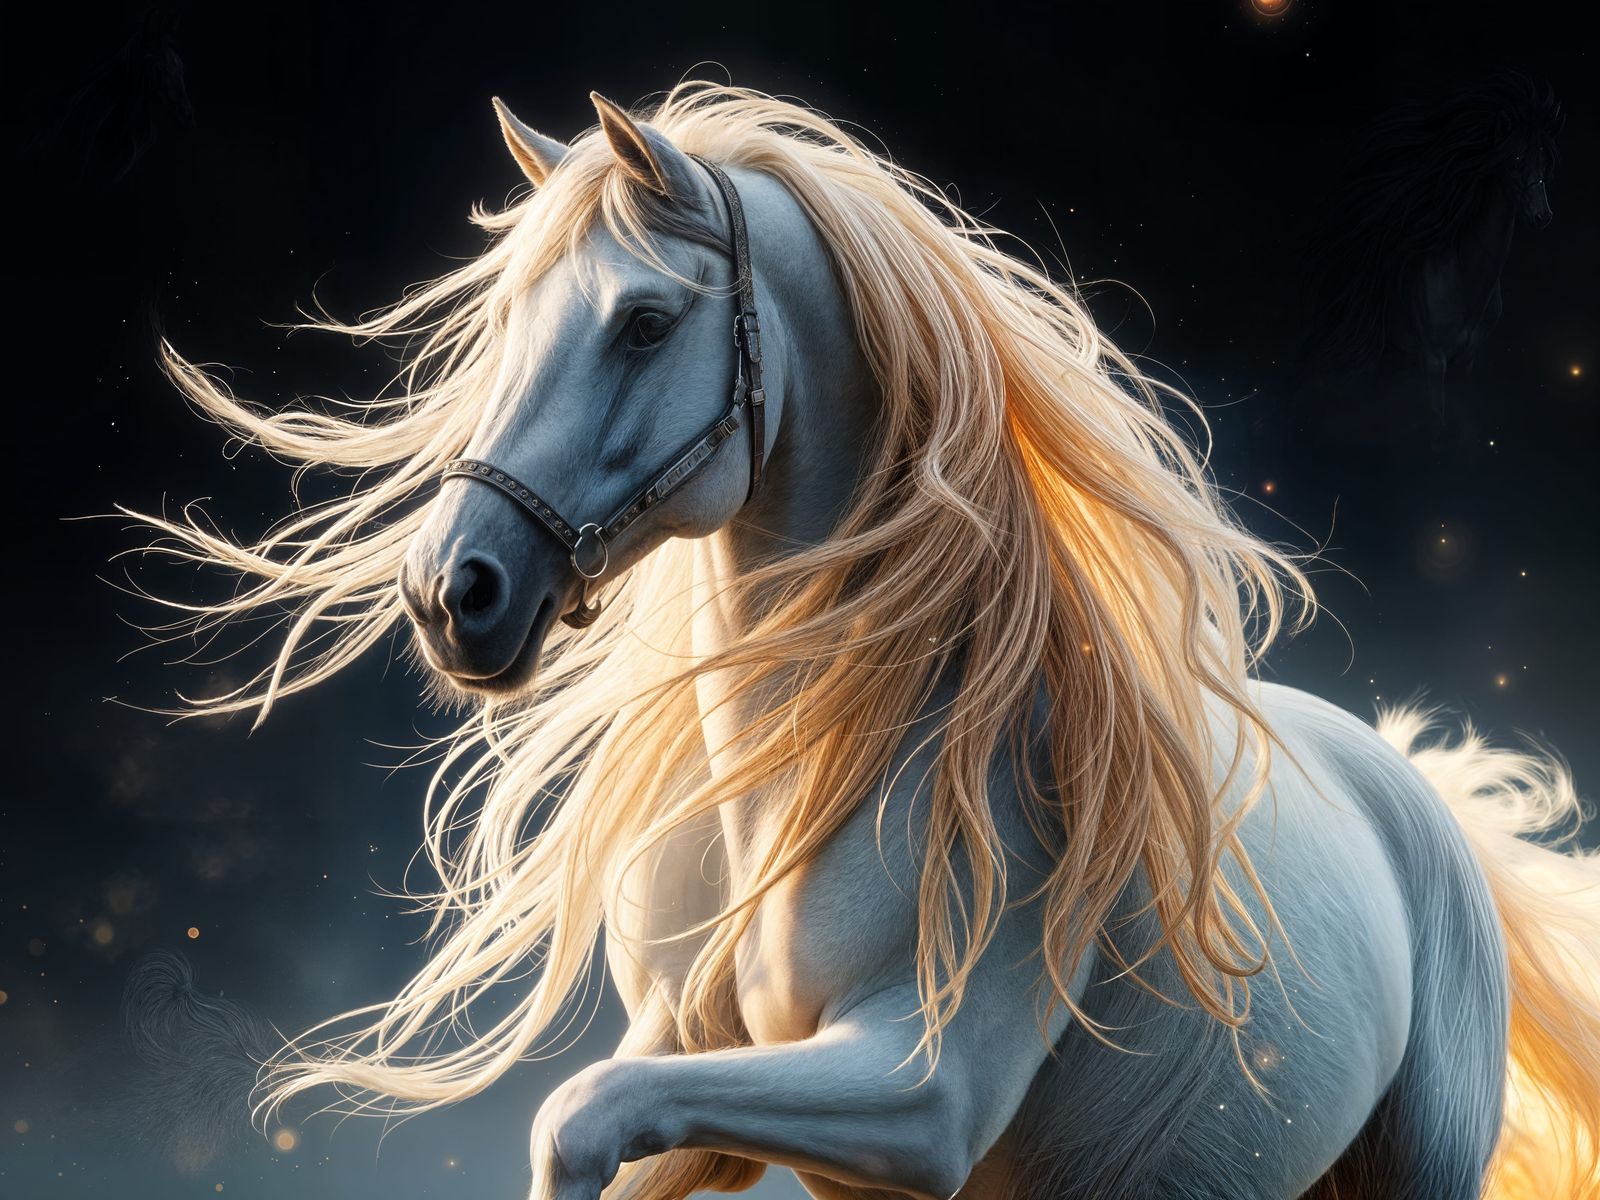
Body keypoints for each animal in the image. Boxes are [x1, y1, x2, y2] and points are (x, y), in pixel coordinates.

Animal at [126, 84, 1600, 1199]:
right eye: (502, 325)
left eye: (642, 322)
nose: (455, 595)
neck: (840, 763)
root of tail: (1416, 793)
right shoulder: (705, 1067)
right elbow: (598, 1118)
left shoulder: (919, 1093)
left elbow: (576, 1116)